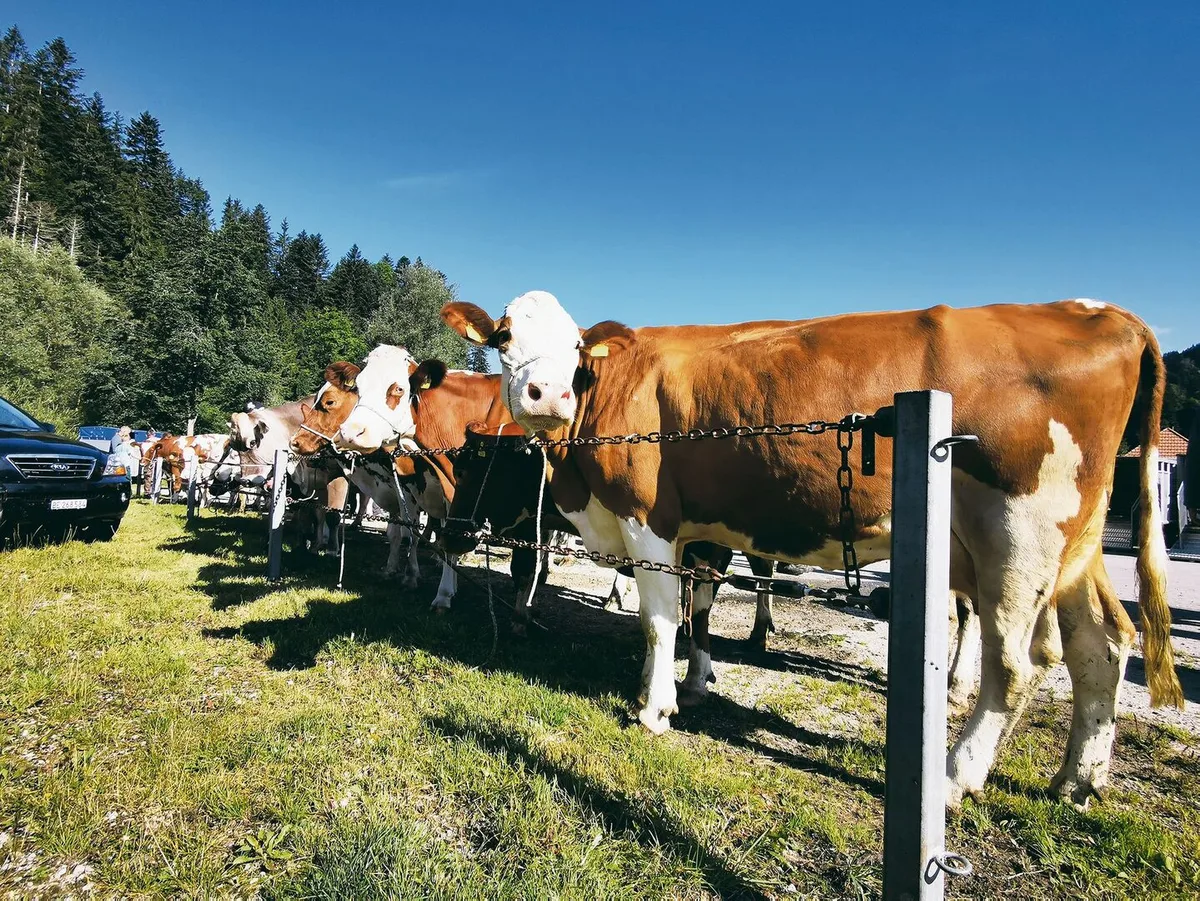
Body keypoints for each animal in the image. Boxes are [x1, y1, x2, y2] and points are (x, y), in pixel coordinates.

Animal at [438, 291, 1182, 809]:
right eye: (504, 338)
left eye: (574, 346)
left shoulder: (650, 516)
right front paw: (685, 684)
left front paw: (654, 707)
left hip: (1018, 537)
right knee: (1101, 644)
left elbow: (658, 621)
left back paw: (954, 776)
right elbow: (689, 614)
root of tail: (1099, 311)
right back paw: (1079, 779)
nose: (548, 394)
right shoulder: (698, 529)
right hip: (1072, 545)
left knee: (1017, 665)